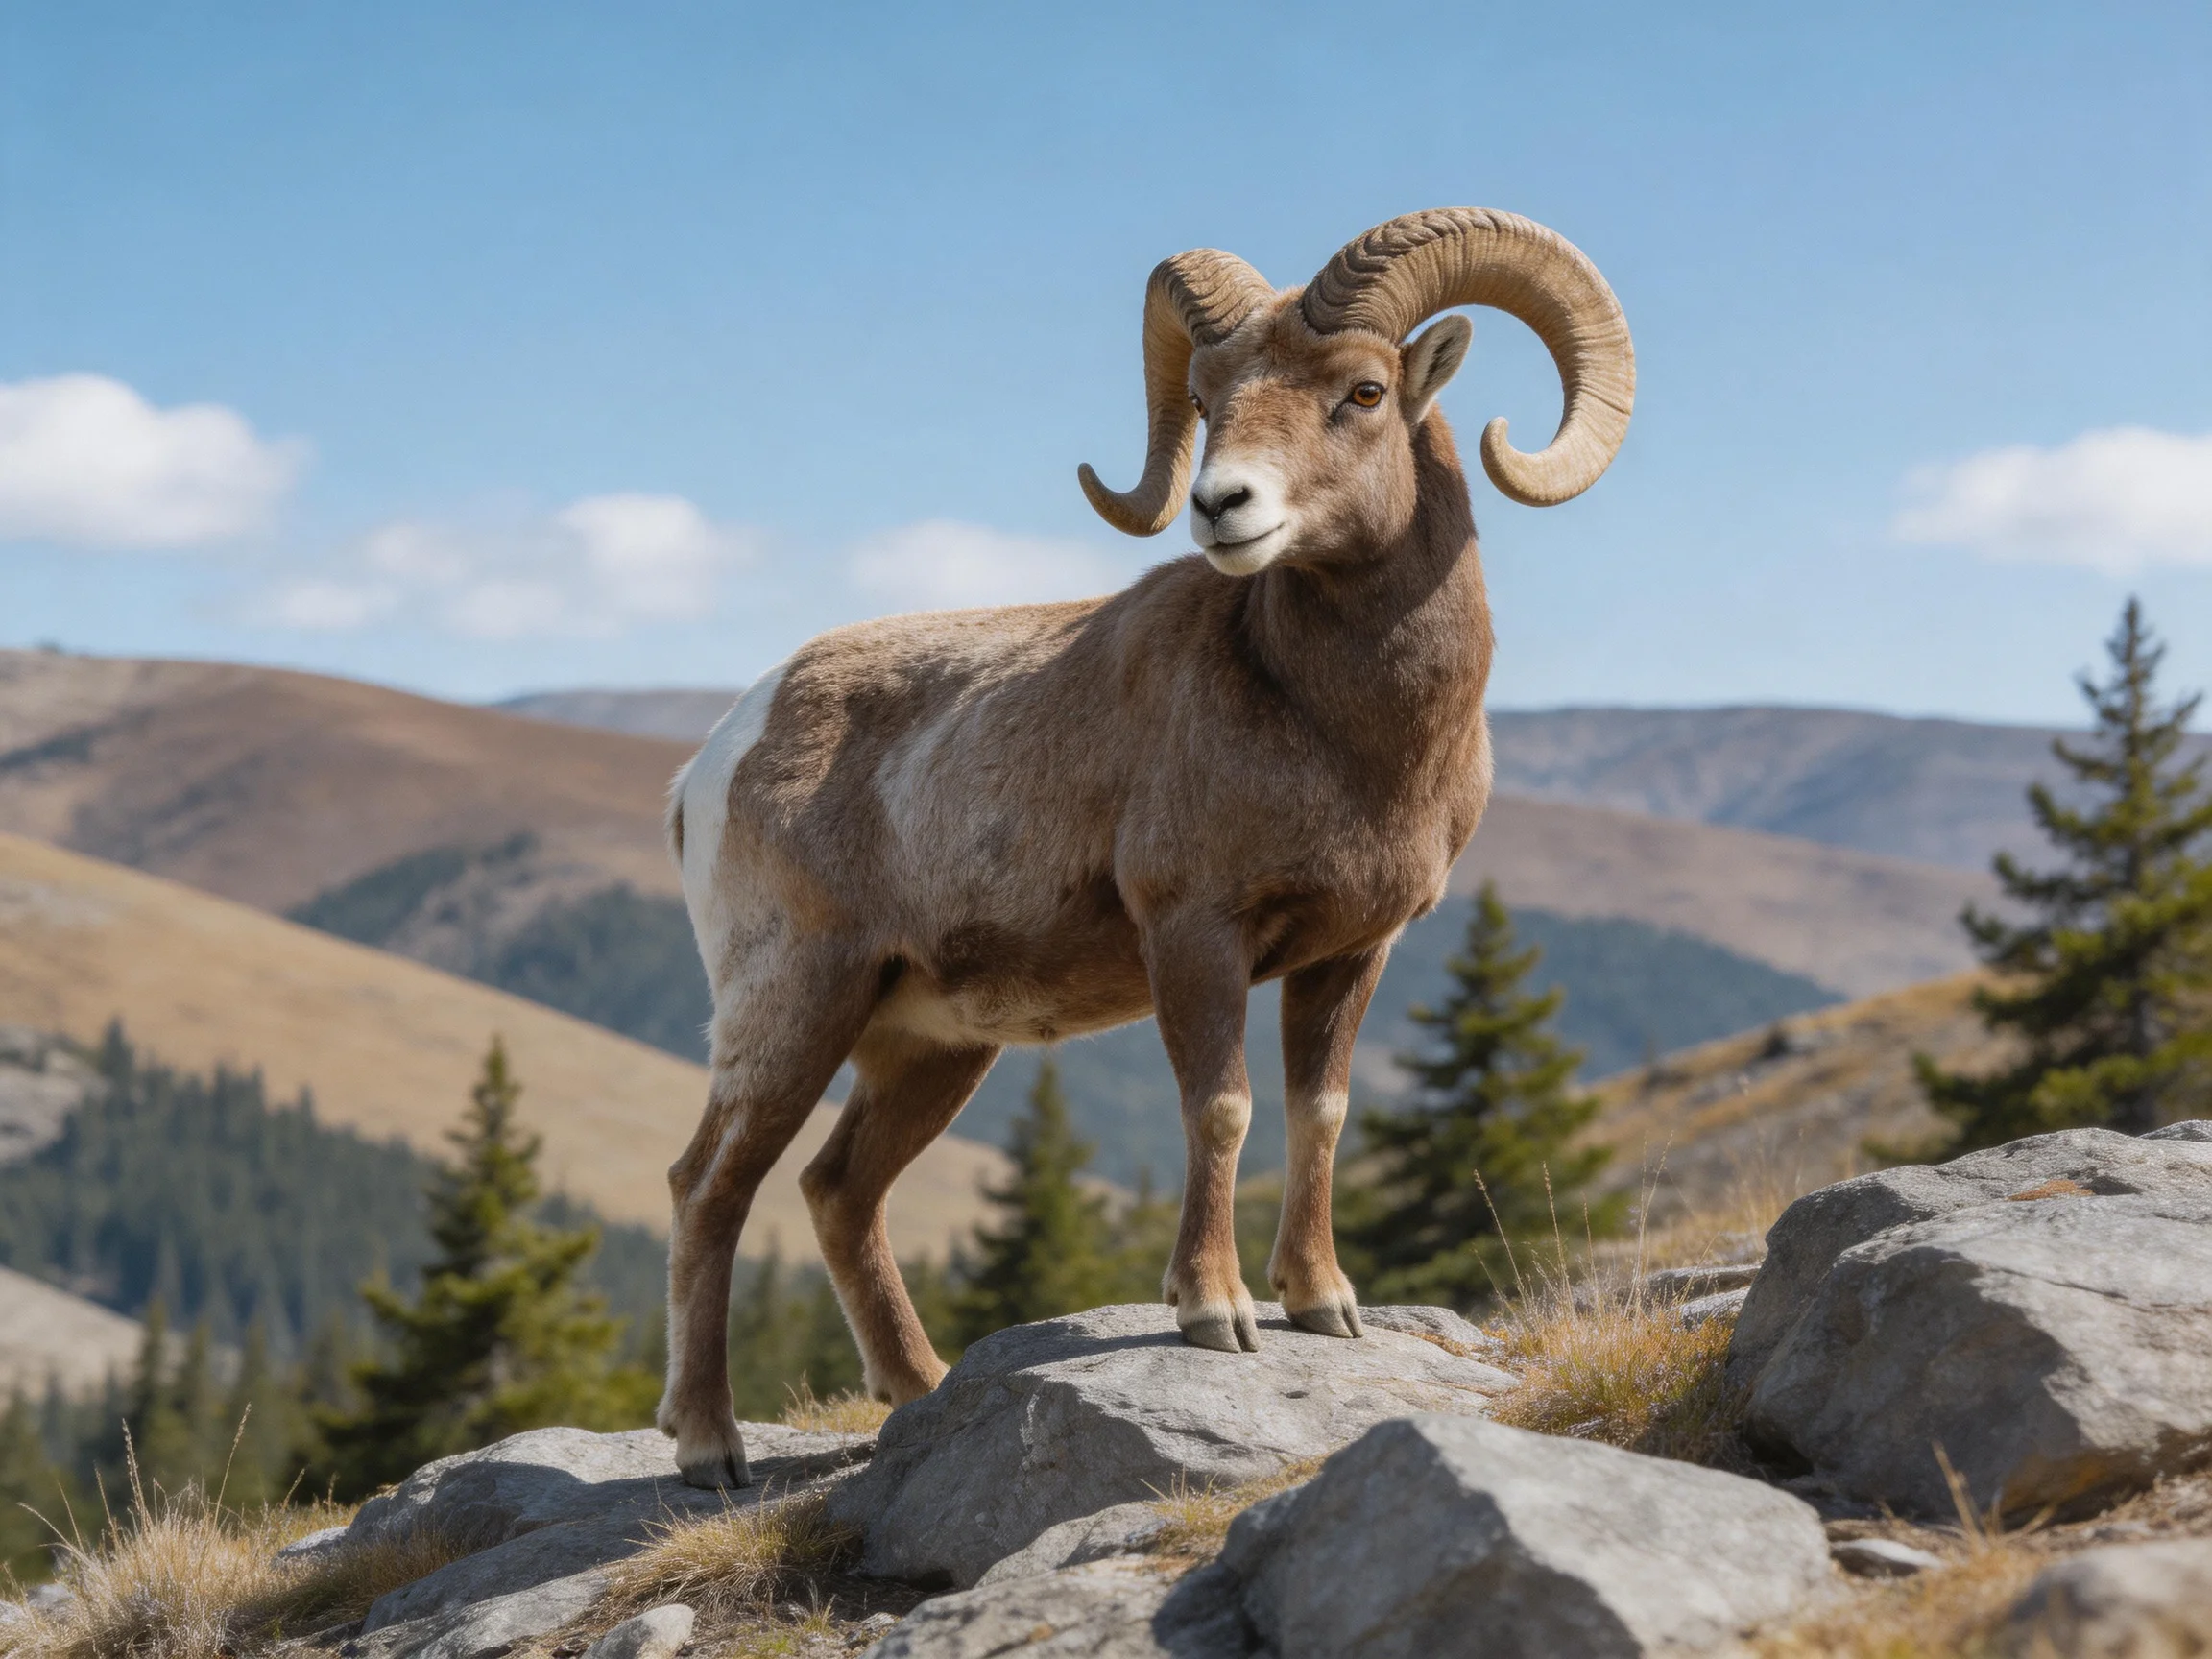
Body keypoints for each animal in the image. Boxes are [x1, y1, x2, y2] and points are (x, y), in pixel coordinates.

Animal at [659, 207, 1634, 1487]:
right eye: (1211, 399)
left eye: (1363, 391)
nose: (1223, 506)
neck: (1347, 736)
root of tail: (716, 758)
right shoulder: (1195, 936)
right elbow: (1220, 1108)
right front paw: (1214, 1315)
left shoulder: (1349, 954)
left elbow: (1320, 1113)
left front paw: (1322, 1304)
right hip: (792, 1011)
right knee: (709, 1189)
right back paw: (709, 1446)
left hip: (929, 1047)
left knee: (837, 1190)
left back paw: (919, 1391)